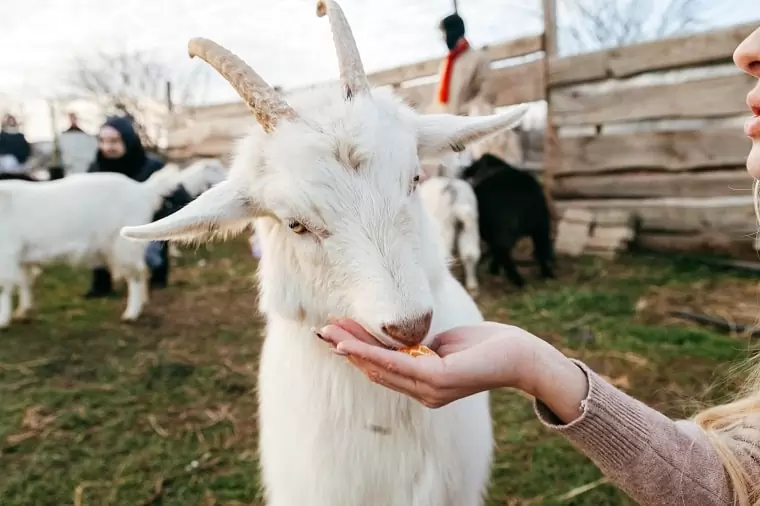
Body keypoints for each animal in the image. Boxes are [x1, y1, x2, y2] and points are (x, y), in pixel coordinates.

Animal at [0, 165, 182, 328]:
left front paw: (3, 321)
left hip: (123, 246)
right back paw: (142, 303)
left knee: (136, 274)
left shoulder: (6, 255)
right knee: (142, 270)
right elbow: (24, 282)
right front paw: (23, 311)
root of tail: (142, 190)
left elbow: (4, 286)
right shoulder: (21, 256)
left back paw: (131, 314)